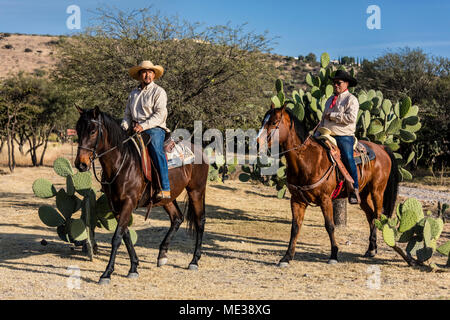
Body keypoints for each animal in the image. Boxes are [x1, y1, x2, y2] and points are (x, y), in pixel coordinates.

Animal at [74, 106, 209, 284]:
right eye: (77, 129)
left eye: (93, 131)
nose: (80, 164)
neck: (123, 163)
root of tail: (200, 151)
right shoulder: (115, 205)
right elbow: (125, 235)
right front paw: (134, 267)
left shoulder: (128, 202)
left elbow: (117, 237)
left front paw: (107, 273)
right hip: (167, 198)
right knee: (177, 218)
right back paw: (162, 255)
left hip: (196, 191)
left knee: (200, 221)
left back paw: (194, 261)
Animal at [255, 104, 400, 266]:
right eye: (263, 121)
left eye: (274, 122)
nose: (257, 143)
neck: (307, 160)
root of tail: (382, 148)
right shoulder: (297, 200)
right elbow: (295, 227)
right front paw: (287, 257)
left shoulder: (325, 199)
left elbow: (330, 226)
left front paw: (334, 255)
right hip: (362, 195)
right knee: (370, 217)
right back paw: (370, 249)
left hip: (377, 192)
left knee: (377, 216)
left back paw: (373, 249)